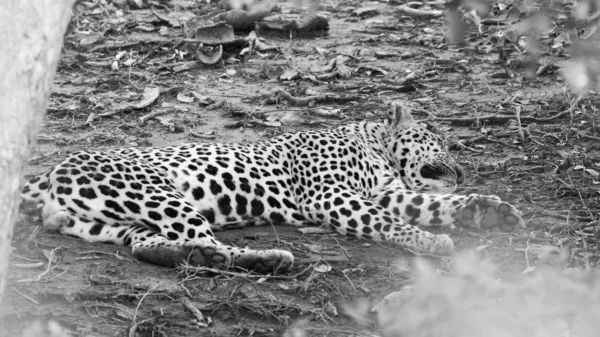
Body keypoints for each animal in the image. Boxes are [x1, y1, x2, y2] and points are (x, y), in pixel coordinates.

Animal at [21, 102, 524, 272]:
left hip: (113, 220)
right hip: (155, 192)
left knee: (155, 246)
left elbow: (428, 204)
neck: (375, 146)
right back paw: (269, 258)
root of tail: (48, 173)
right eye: (440, 140)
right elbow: (387, 223)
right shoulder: (332, 196)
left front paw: (486, 209)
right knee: (209, 244)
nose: (462, 172)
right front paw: (429, 242)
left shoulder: (387, 192)